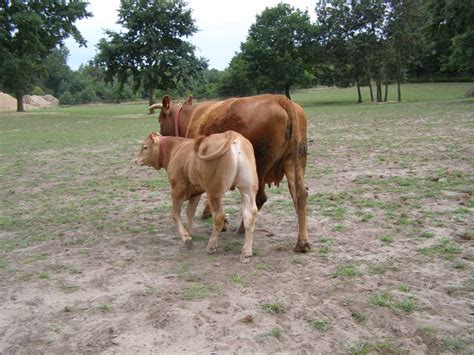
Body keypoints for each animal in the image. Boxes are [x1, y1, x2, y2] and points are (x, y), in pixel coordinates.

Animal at [135, 130, 260, 262]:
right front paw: (189, 232)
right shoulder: (196, 192)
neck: (175, 149)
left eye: (145, 147)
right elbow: (190, 211)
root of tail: (232, 134)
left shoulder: (177, 188)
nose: (136, 160)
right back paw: (246, 253)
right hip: (247, 189)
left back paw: (211, 246)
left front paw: (186, 238)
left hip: (214, 192)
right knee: (250, 215)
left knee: (219, 217)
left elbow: (175, 213)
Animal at [149, 93, 312, 252]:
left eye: (160, 119)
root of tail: (279, 98)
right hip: (295, 161)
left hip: (259, 168)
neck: (190, 117)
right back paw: (302, 242)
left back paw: (242, 228)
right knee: (300, 195)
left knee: (259, 198)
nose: (161, 136)